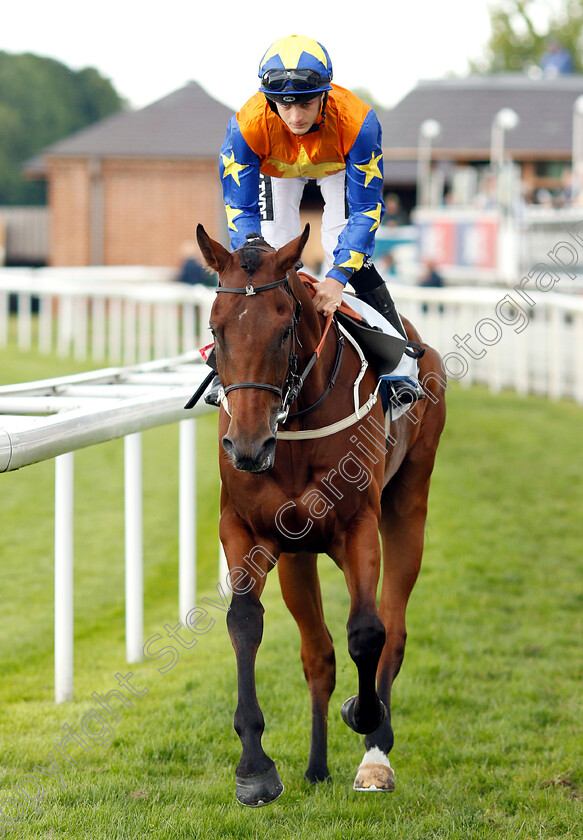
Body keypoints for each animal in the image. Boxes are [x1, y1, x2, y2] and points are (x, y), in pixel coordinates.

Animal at [196, 225, 448, 808]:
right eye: (216, 328)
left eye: (284, 328)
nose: (247, 446)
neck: (291, 428)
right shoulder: (246, 529)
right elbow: (245, 623)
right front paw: (255, 768)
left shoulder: (358, 528)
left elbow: (368, 632)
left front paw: (365, 715)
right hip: (297, 554)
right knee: (318, 655)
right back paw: (315, 767)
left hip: (409, 502)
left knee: (394, 628)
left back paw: (375, 754)